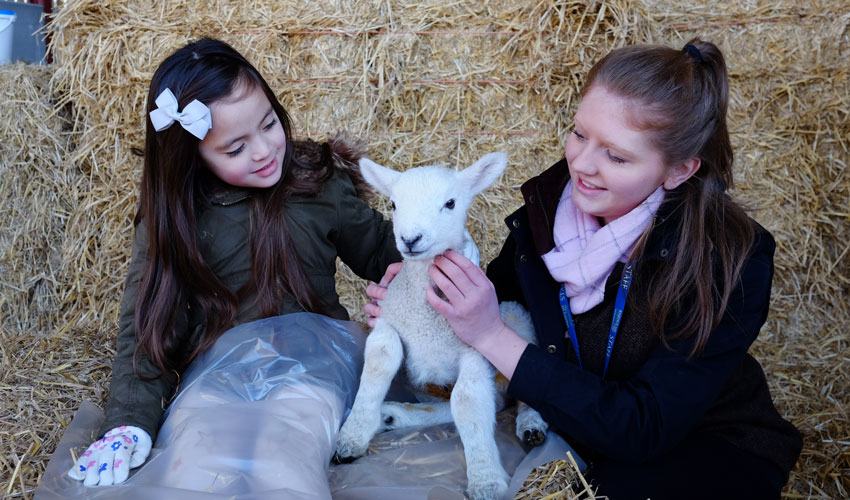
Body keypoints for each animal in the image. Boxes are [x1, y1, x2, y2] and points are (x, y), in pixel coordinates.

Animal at [334, 152, 548, 500]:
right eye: (393, 204)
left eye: (450, 203)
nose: (410, 239)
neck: (425, 318)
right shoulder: (388, 322)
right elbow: (380, 363)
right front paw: (352, 437)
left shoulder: (475, 348)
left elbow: (468, 401)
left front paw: (486, 482)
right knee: (489, 403)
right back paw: (392, 415)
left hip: (514, 314)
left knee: (513, 394)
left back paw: (531, 425)